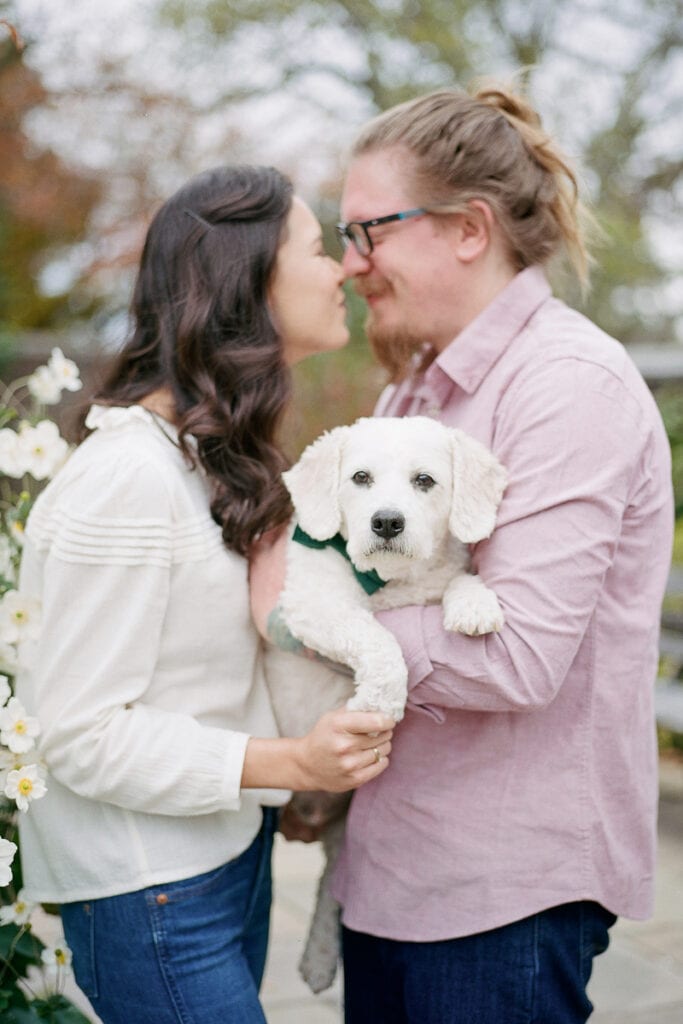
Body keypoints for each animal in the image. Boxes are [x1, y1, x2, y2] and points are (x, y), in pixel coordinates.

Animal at [264, 413, 505, 991]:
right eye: (360, 478)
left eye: (424, 481)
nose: (387, 523)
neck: (389, 581)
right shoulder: (312, 606)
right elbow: (377, 638)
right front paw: (380, 701)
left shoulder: (437, 578)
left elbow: (461, 580)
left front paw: (475, 605)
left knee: (333, 880)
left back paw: (319, 957)